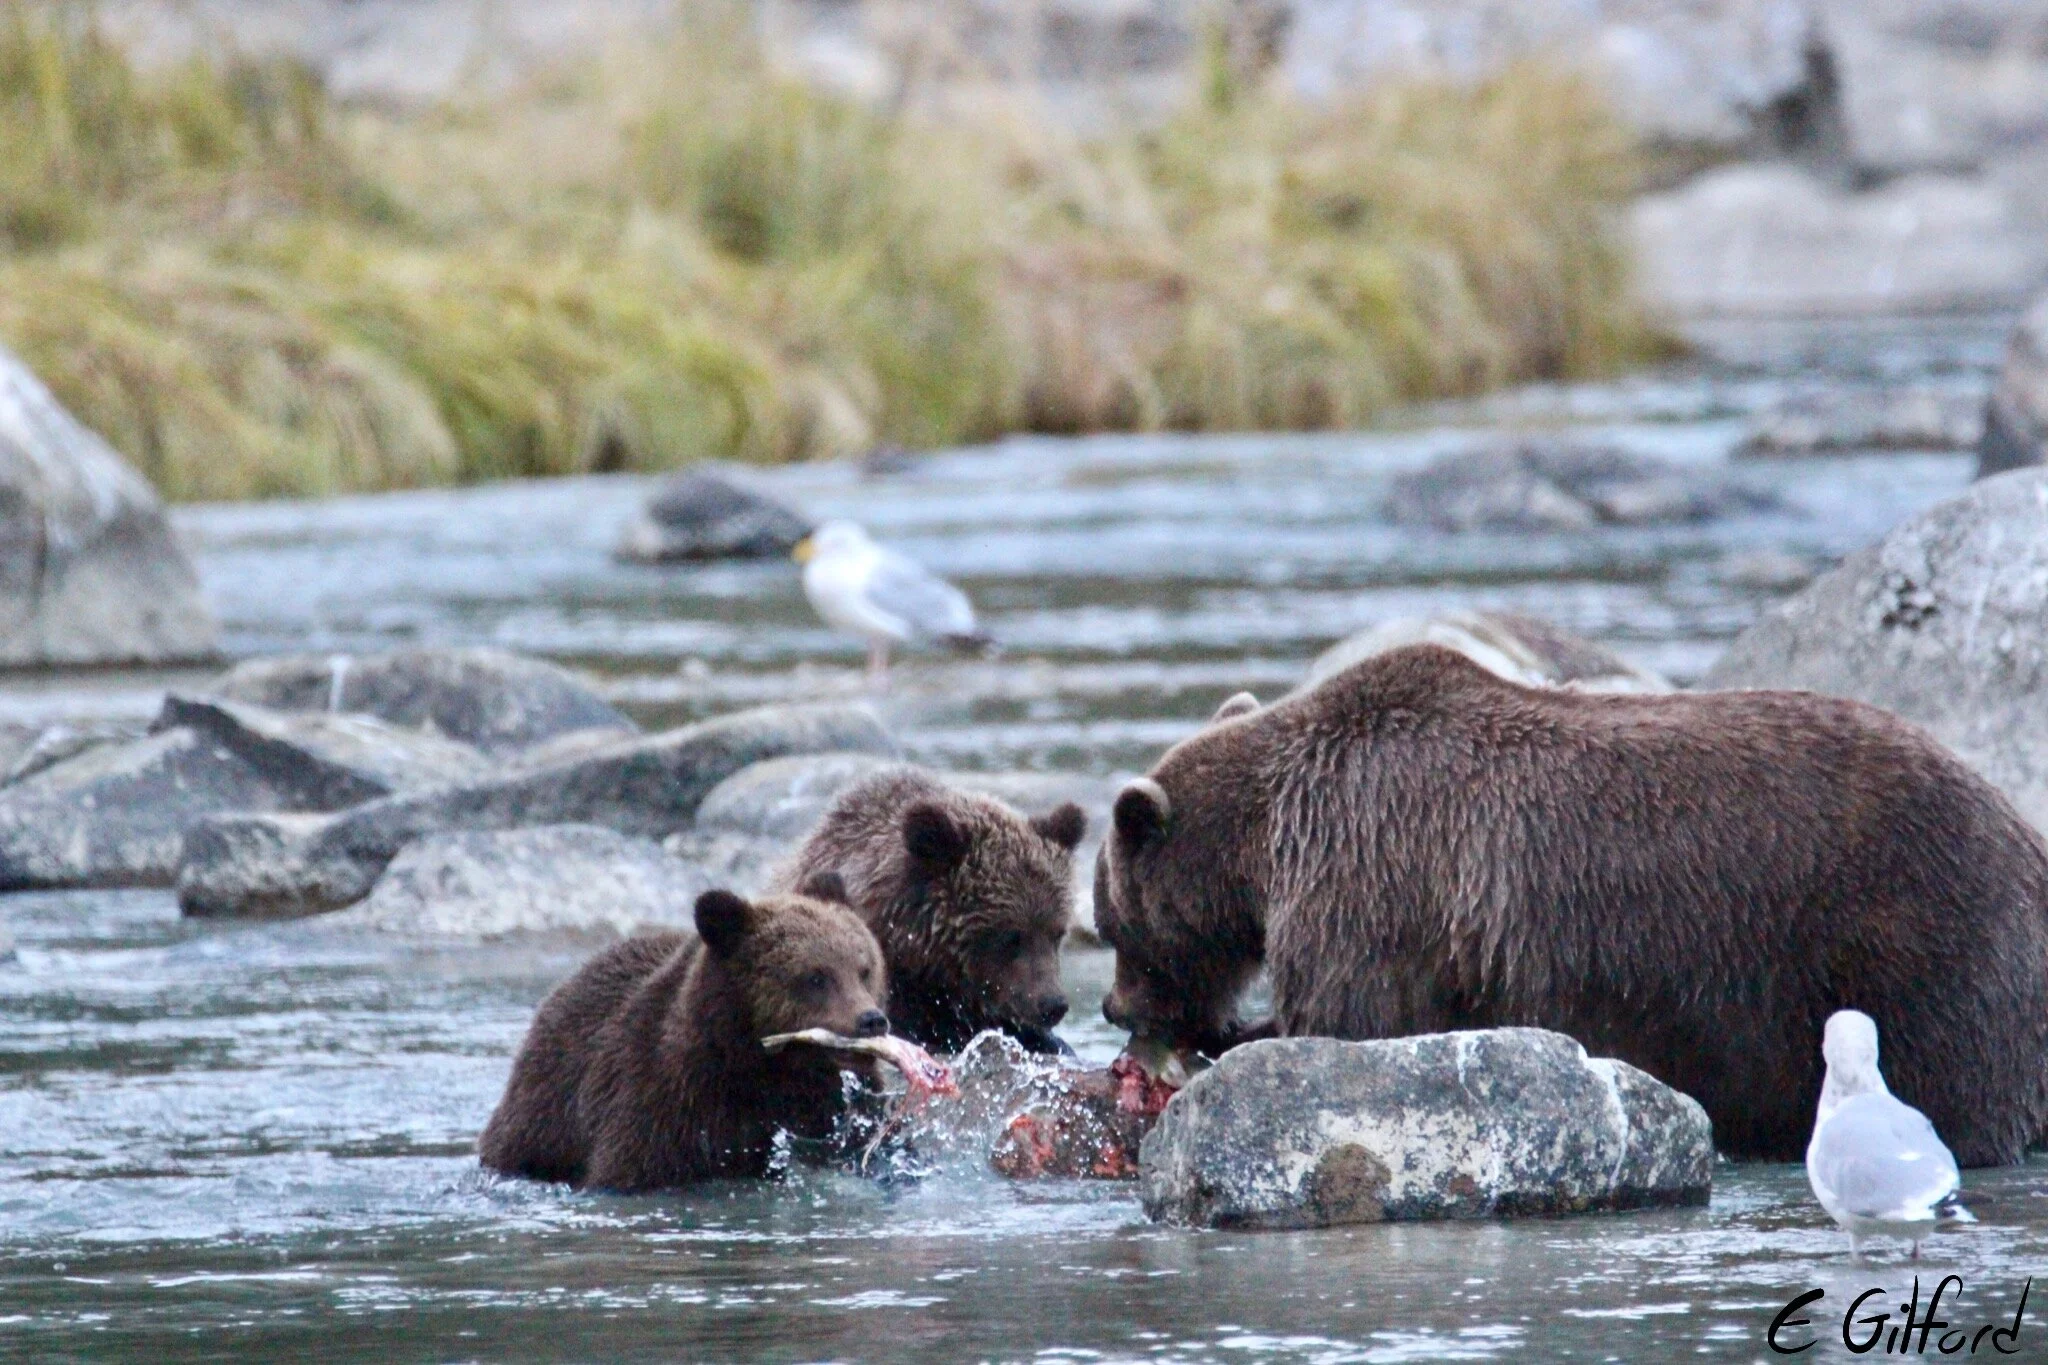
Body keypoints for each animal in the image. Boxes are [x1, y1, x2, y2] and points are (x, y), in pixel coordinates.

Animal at [477, 875, 890, 1191]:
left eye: (864, 969)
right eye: (816, 977)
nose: (871, 1019)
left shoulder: (834, 1106)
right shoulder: (667, 1102)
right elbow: (635, 1166)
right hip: (544, 1112)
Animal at [1093, 642, 2048, 1166]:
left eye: (1109, 923)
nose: (1112, 1006)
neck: (1266, 839)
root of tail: (2022, 832)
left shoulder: (1367, 869)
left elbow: (1348, 1014)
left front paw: (1227, 1039)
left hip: (1919, 937)